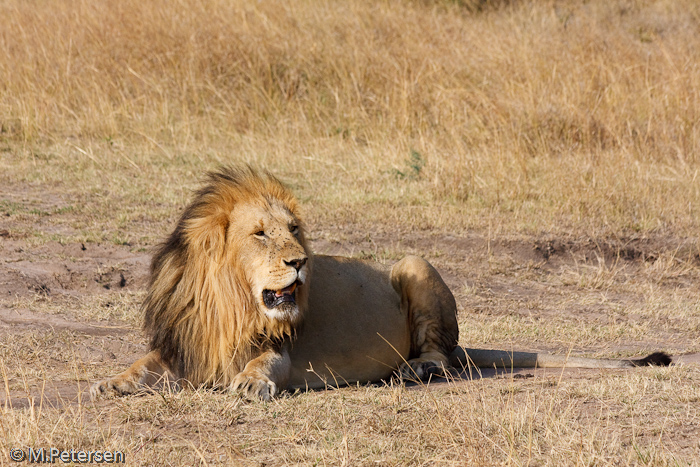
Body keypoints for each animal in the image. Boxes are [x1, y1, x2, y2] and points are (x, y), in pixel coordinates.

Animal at [90, 166, 668, 400]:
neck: (229, 304)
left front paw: (252, 384)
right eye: (260, 234)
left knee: (441, 353)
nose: (301, 262)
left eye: (294, 230)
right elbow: (146, 363)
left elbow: (264, 363)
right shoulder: (185, 344)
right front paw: (113, 382)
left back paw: (416, 370)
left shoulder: (285, 349)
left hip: (416, 264)